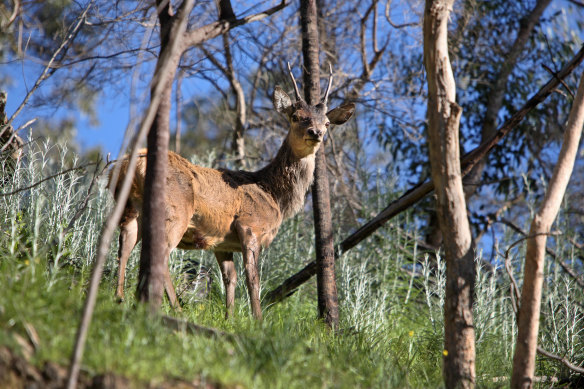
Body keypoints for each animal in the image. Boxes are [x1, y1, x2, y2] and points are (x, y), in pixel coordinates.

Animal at [111, 66, 354, 318]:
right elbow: (253, 279)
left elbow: (230, 278)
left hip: (129, 207)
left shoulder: (221, 242)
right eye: (296, 117)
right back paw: (176, 308)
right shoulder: (250, 225)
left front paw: (229, 317)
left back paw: (119, 297)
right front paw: (257, 319)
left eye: (327, 123)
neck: (273, 194)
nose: (315, 132)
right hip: (175, 212)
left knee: (124, 245)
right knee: (159, 255)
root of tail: (135, 162)